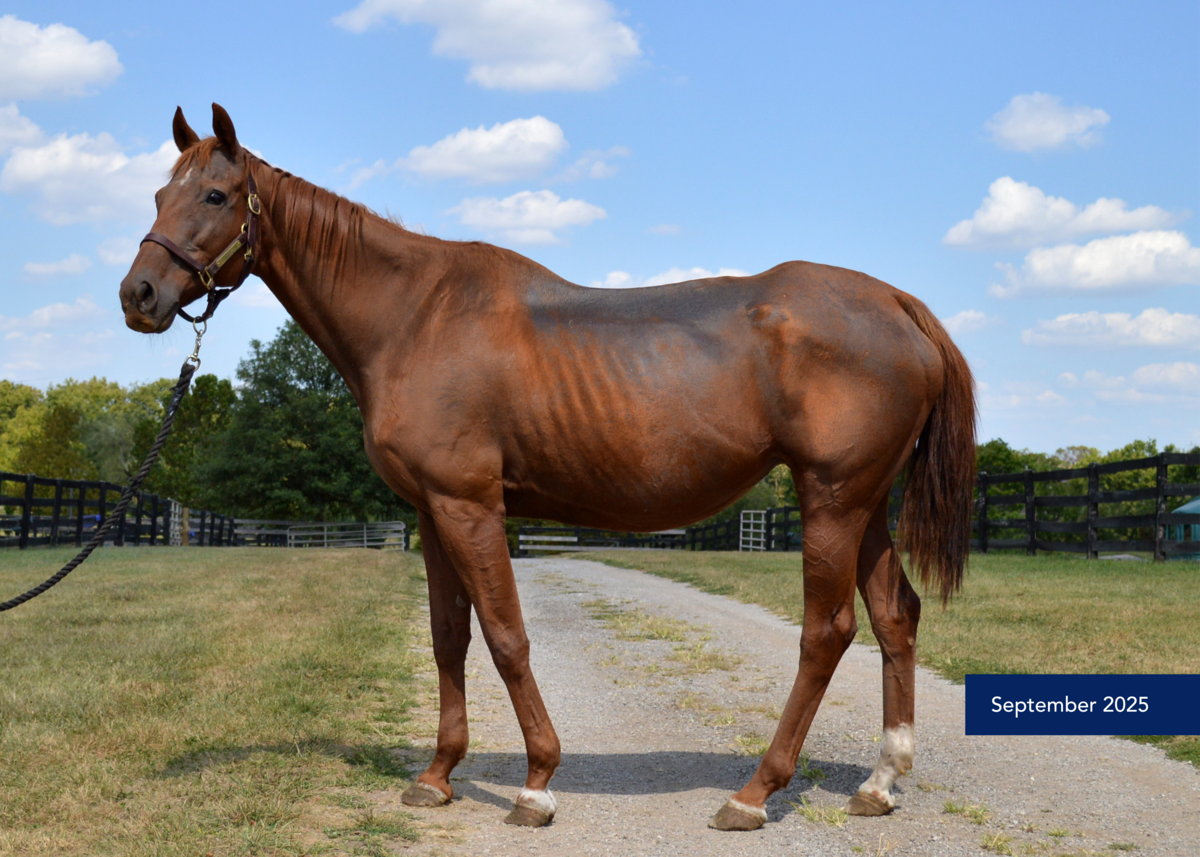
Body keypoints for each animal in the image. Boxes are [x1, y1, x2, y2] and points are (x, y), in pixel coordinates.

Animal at [120, 104, 976, 832]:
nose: (139, 294)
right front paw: (437, 775)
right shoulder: (432, 508)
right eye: (159, 192)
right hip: (863, 504)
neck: (415, 316)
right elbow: (449, 637)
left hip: (832, 498)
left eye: (216, 193)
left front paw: (536, 782)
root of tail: (899, 305)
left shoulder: (470, 503)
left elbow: (505, 635)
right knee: (896, 616)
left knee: (827, 632)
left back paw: (754, 792)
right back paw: (879, 782)